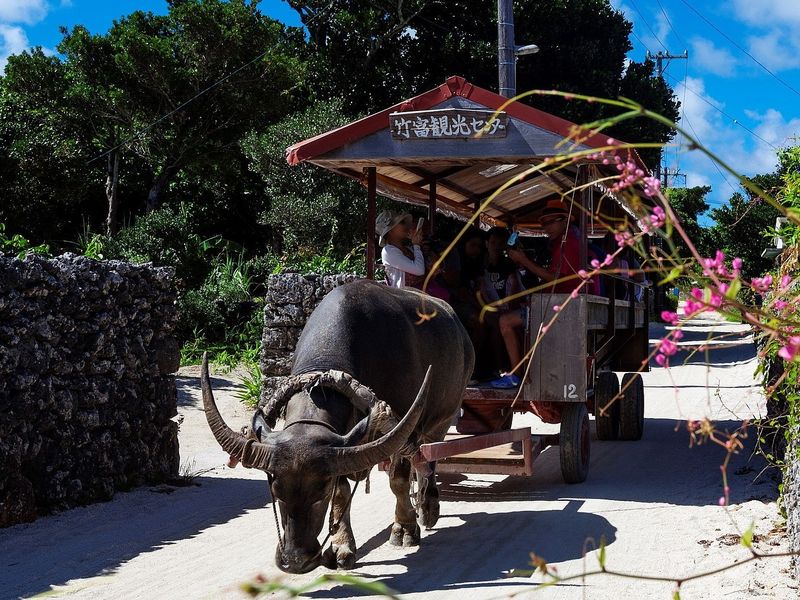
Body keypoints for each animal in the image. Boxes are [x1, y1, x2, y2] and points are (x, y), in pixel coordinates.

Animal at [202, 278, 476, 576]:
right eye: (275, 491)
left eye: (319, 492)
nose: (295, 560)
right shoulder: (342, 444)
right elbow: (343, 492)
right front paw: (341, 547)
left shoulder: (404, 427)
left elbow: (398, 479)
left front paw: (404, 529)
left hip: (442, 417)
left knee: (427, 460)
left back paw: (427, 508)